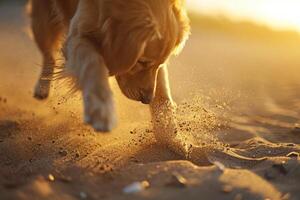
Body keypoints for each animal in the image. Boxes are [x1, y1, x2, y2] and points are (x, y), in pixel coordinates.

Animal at [29, 0, 190, 134]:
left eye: (159, 64)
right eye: (141, 62)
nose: (147, 99)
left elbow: (163, 90)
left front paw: (170, 132)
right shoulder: (78, 34)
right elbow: (93, 64)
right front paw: (101, 110)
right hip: (43, 21)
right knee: (49, 55)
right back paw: (42, 88)